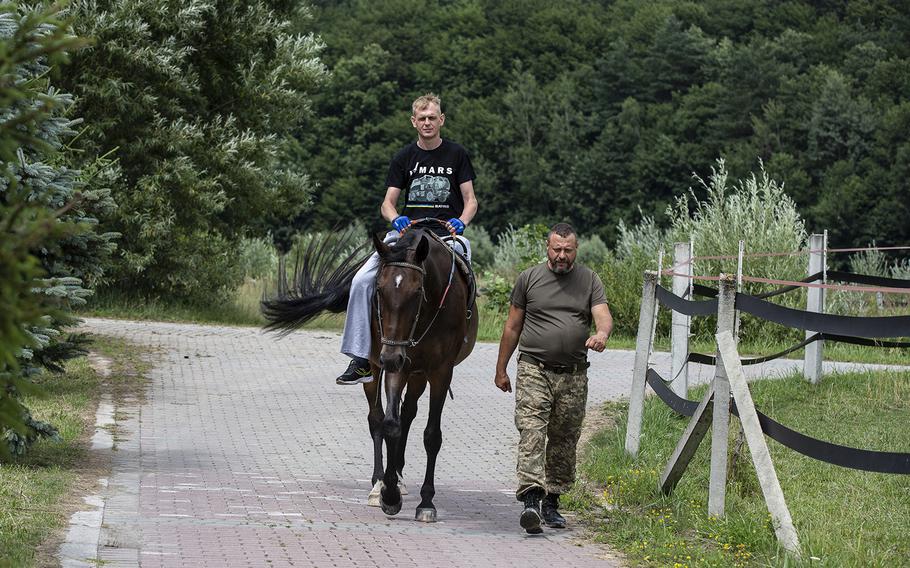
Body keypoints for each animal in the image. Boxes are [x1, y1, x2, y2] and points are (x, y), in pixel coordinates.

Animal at [262, 220, 480, 520]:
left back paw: (398, 473)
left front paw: (426, 502)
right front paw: (388, 494)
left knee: (408, 412)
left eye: (417, 292)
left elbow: (431, 435)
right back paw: (380, 482)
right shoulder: (397, 364)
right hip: (377, 368)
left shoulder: (439, 371)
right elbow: (389, 424)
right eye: (379, 290)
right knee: (377, 418)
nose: (391, 357)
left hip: (416, 372)